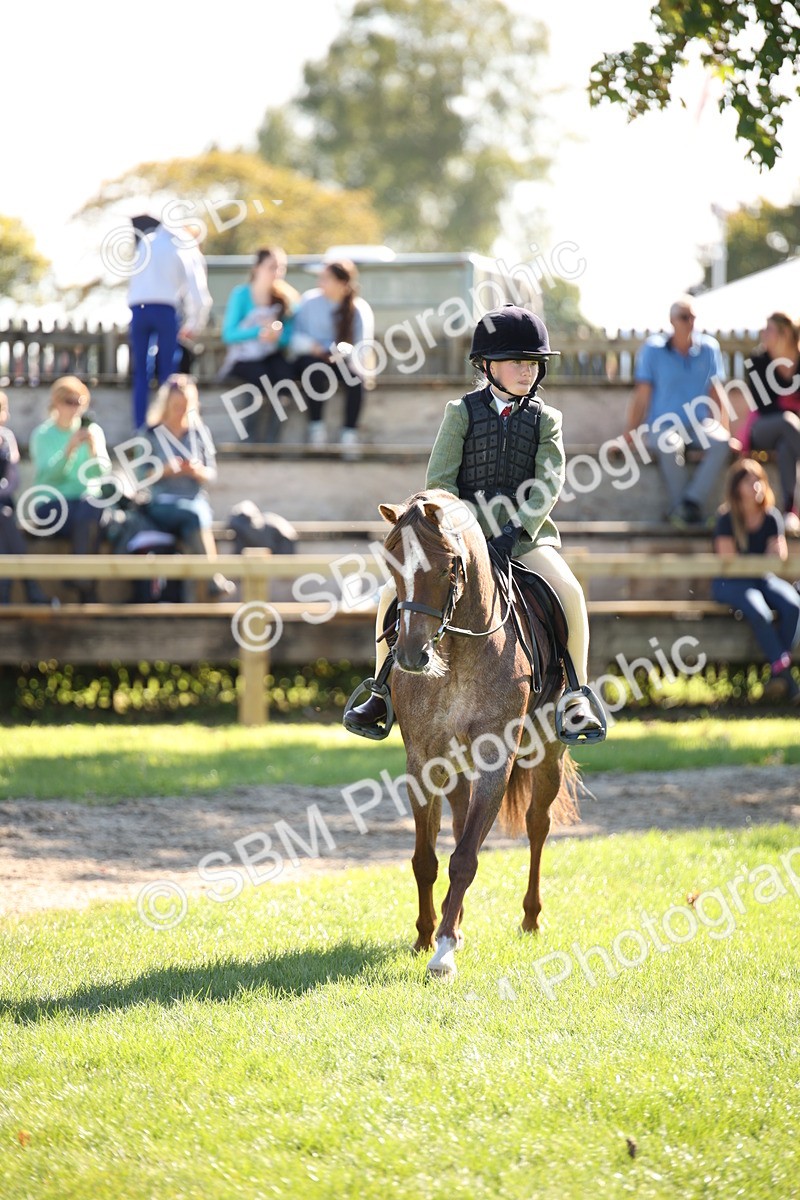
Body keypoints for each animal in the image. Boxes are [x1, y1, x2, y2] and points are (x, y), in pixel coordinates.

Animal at [377, 488, 579, 979]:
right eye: (392, 565)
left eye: (448, 566)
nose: (410, 656)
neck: (456, 648)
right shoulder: (423, 761)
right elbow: (426, 859)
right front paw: (425, 936)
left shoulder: (495, 761)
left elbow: (465, 857)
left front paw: (444, 950)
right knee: (458, 821)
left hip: (548, 755)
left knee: (537, 825)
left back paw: (530, 919)